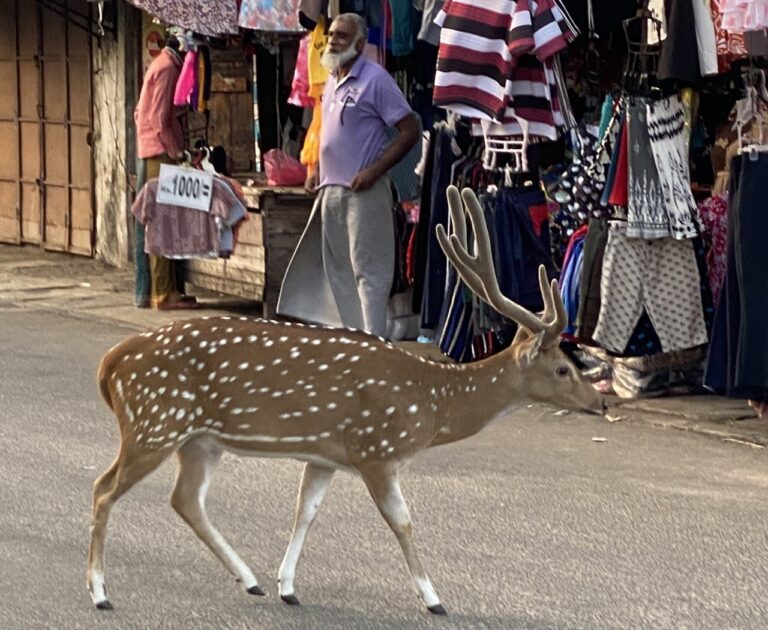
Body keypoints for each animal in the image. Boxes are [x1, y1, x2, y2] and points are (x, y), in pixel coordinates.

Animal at [87, 185, 605, 615]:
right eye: (563, 368)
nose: (599, 404)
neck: (431, 402)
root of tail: (109, 364)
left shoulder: (326, 455)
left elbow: (306, 511)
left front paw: (287, 586)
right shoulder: (376, 449)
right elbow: (403, 522)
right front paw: (434, 598)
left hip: (198, 439)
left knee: (185, 499)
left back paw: (250, 580)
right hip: (155, 423)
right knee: (104, 488)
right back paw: (99, 592)